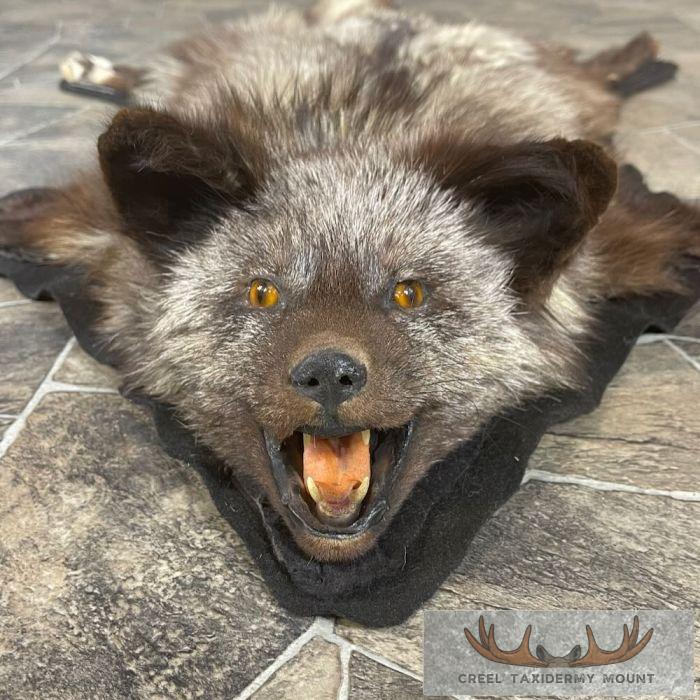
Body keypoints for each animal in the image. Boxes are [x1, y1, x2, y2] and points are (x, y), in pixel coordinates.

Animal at [1, 0, 698, 563]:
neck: (358, 137)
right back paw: (91, 68)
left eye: (409, 293)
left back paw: (636, 52)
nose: (329, 373)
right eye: (262, 292)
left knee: (593, 70)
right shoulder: (86, 224)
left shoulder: (632, 240)